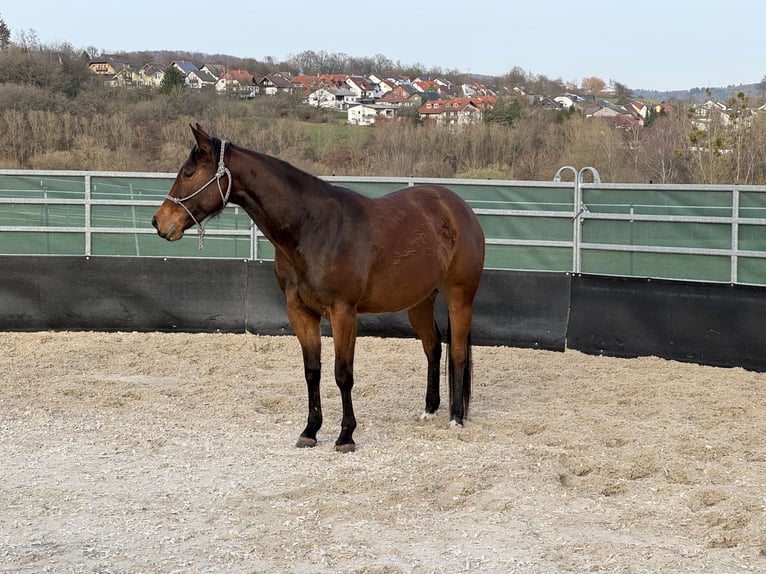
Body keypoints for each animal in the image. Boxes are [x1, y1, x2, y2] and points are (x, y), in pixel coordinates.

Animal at [152, 123, 485, 452]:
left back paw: (456, 417)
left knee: (457, 352)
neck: (313, 228)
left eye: (188, 174)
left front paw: (346, 435)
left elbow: (343, 374)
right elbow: (312, 371)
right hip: (419, 301)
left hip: (459, 296)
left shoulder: (343, 313)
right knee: (433, 348)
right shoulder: (300, 312)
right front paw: (310, 431)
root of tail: (458, 208)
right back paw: (430, 409)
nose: (159, 221)